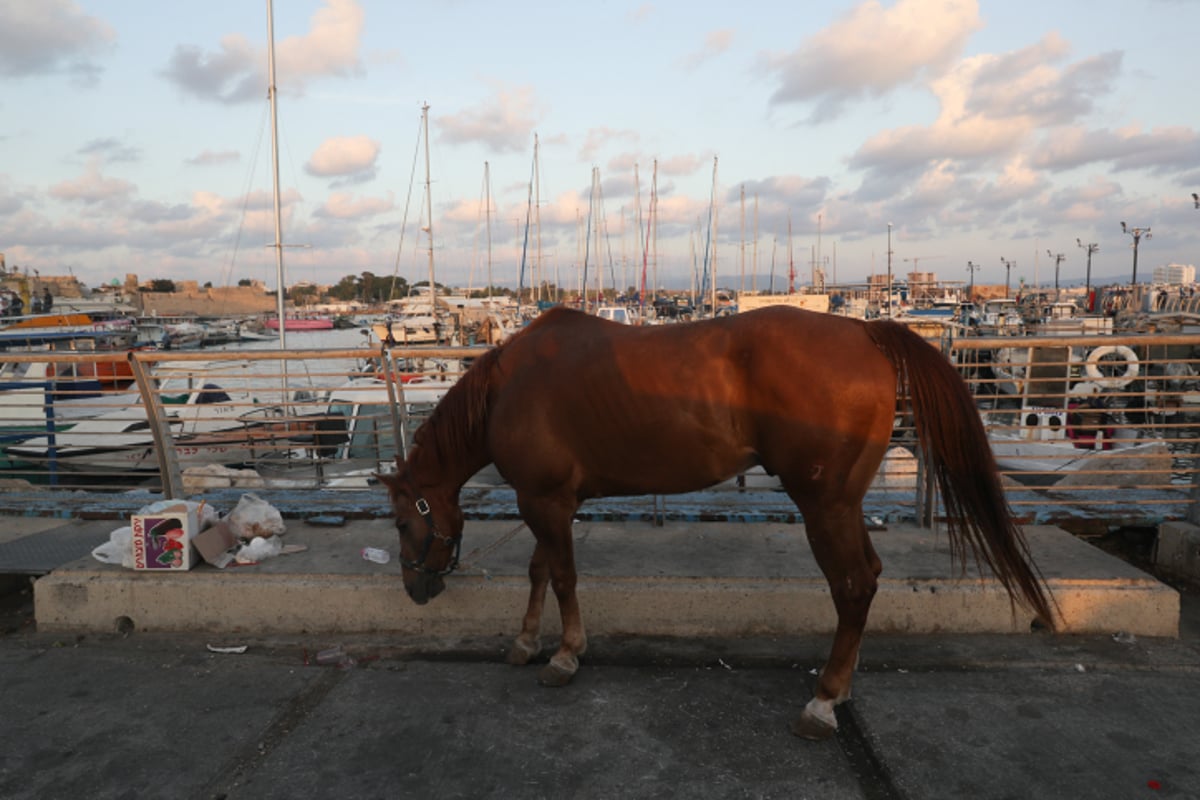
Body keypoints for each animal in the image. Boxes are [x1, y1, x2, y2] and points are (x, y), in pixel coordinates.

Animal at [379, 304, 1056, 738]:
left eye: (403, 524)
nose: (414, 588)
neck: (507, 388)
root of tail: (866, 333)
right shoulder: (548, 501)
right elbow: (541, 570)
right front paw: (525, 642)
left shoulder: (544, 501)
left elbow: (563, 577)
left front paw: (566, 654)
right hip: (842, 505)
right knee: (867, 579)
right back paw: (843, 686)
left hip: (826, 506)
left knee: (854, 585)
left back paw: (824, 699)